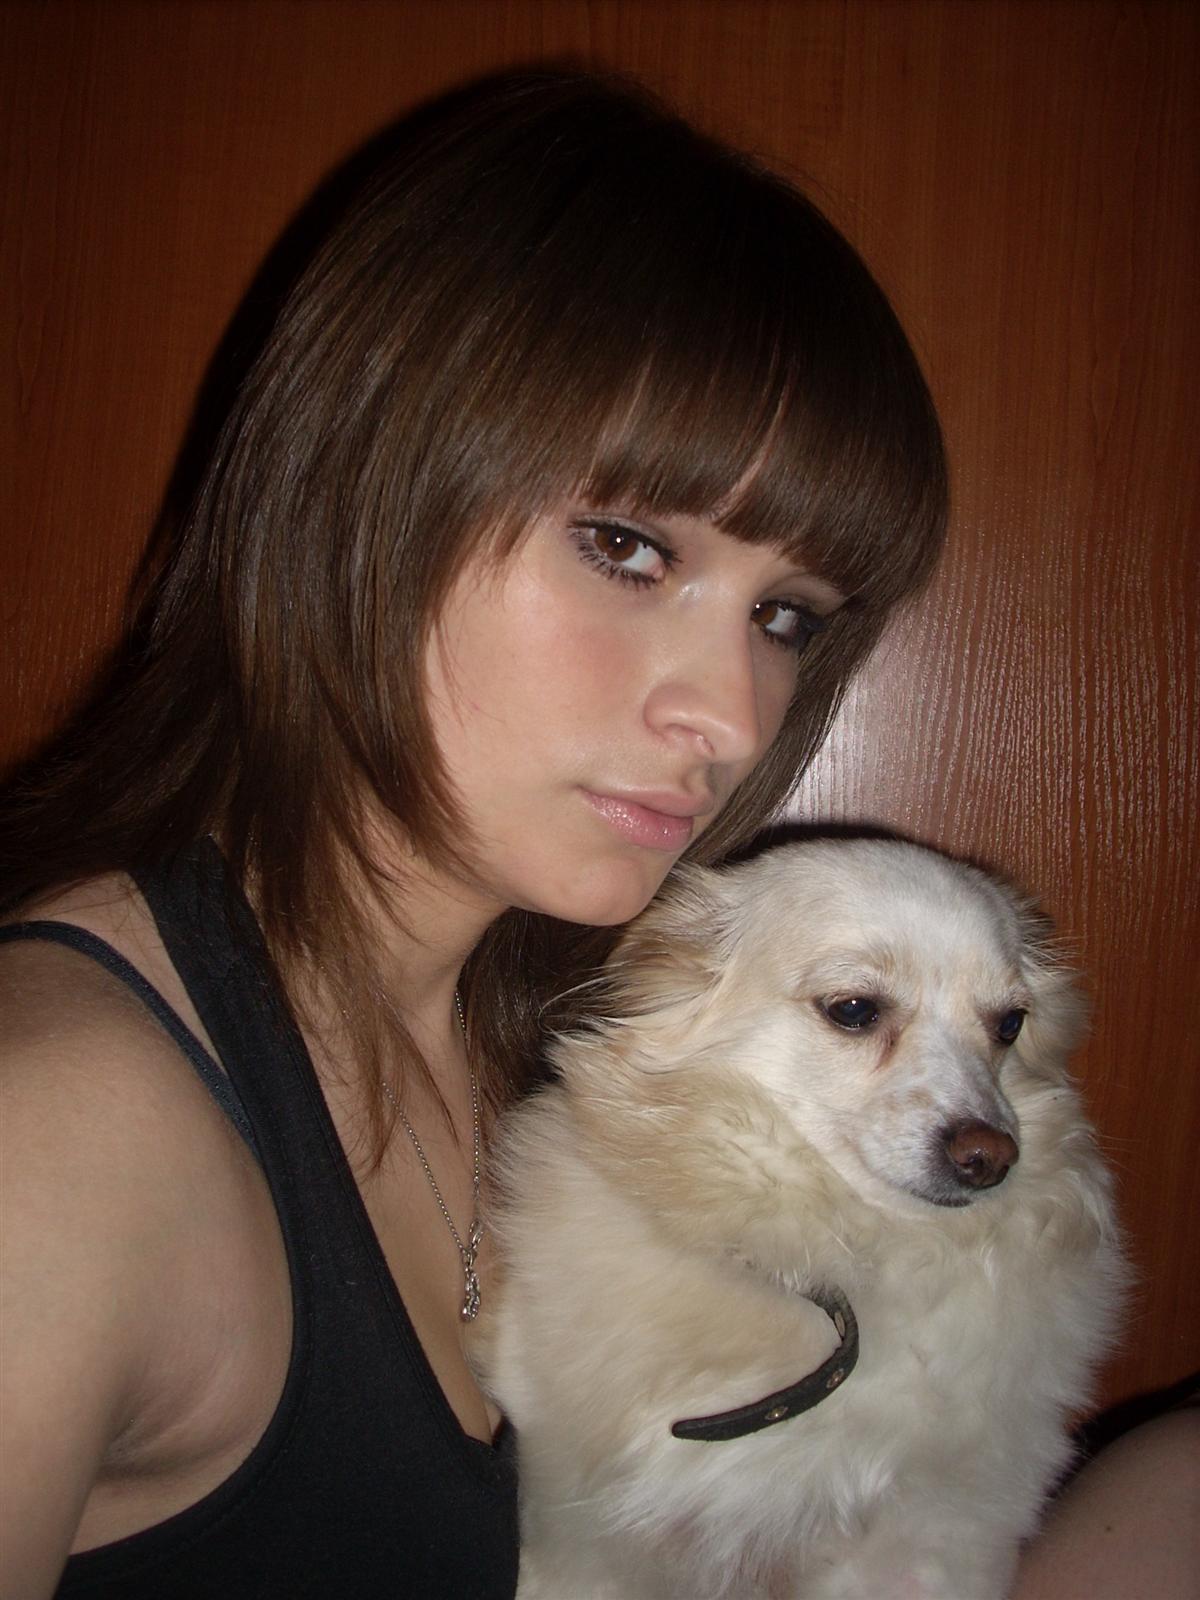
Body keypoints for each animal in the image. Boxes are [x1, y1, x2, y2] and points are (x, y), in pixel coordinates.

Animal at [474, 838, 1127, 1599]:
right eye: (854, 1010)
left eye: (1009, 1025)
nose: (989, 1154)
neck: (849, 1257)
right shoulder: (585, 1542)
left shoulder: (938, 1543)